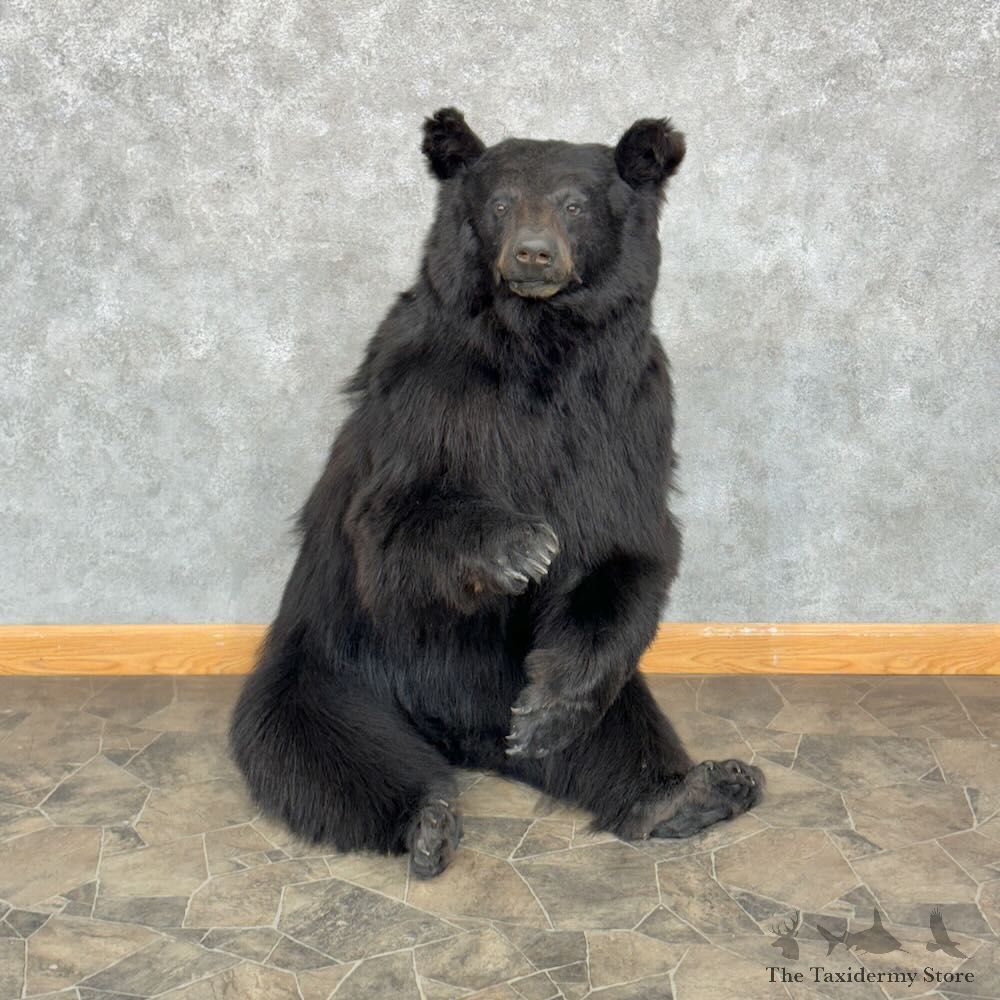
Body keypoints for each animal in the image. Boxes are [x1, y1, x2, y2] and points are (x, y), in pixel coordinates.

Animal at [230, 108, 763, 878]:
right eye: (502, 203)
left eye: (576, 204)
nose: (534, 256)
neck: (538, 349)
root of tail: (456, 734)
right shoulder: (426, 393)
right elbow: (390, 521)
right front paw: (520, 547)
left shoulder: (628, 409)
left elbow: (630, 540)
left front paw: (551, 711)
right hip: (328, 670)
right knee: (319, 754)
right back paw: (425, 819)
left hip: (527, 676)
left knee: (617, 725)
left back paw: (688, 792)